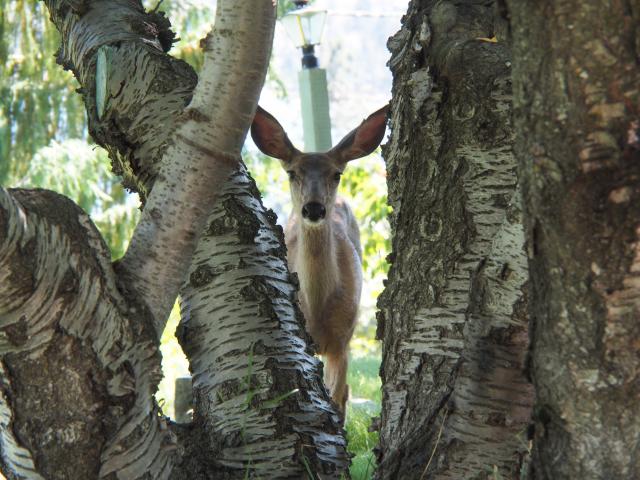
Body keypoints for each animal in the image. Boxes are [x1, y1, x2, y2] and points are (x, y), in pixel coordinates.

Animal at [252, 106, 388, 416]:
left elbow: (337, 398)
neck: (317, 309)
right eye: (292, 173)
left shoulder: (344, 340)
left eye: (337, 174)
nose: (313, 208)